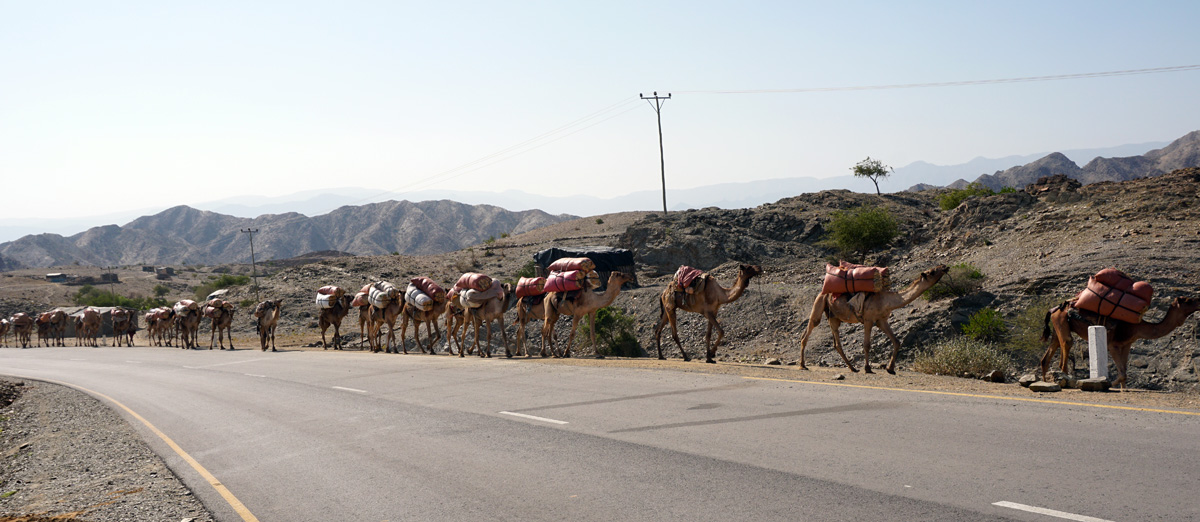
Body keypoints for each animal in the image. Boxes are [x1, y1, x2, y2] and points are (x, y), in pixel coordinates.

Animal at [799, 264, 949, 374]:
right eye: (932, 271)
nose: (944, 266)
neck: (885, 301)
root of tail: (822, 291)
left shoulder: (881, 320)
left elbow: (896, 341)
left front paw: (890, 369)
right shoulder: (868, 319)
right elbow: (866, 344)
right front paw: (868, 368)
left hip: (834, 317)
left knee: (836, 344)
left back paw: (853, 368)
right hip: (819, 304)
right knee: (808, 332)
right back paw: (802, 365)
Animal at [1041, 296, 1200, 389]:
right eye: (1188, 300)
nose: (1199, 300)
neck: (1138, 327)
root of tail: (1054, 308)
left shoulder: (1127, 344)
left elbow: (1124, 371)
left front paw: (1124, 390)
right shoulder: (1113, 344)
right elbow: (1122, 373)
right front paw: (1108, 384)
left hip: (1057, 325)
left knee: (1048, 354)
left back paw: (1045, 381)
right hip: (1062, 320)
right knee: (1067, 344)